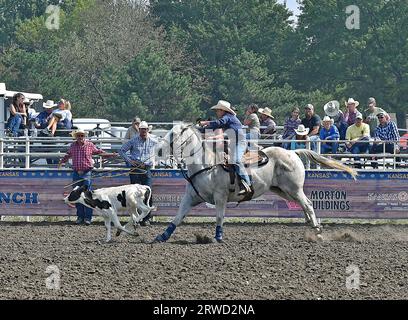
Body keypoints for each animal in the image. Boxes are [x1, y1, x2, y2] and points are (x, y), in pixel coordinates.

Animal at [153, 124, 356, 242]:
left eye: (173, 134)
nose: (159, 150)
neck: (206, 165)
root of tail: (293, 152)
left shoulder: (220, 197)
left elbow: (219, 217)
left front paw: (218, 237)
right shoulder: (190, 197)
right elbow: (177, 217)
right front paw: (162, 236)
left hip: (294, 188)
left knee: (308, 203)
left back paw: (317, 230)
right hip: (283, 190)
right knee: (304, 205)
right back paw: (311, 225)